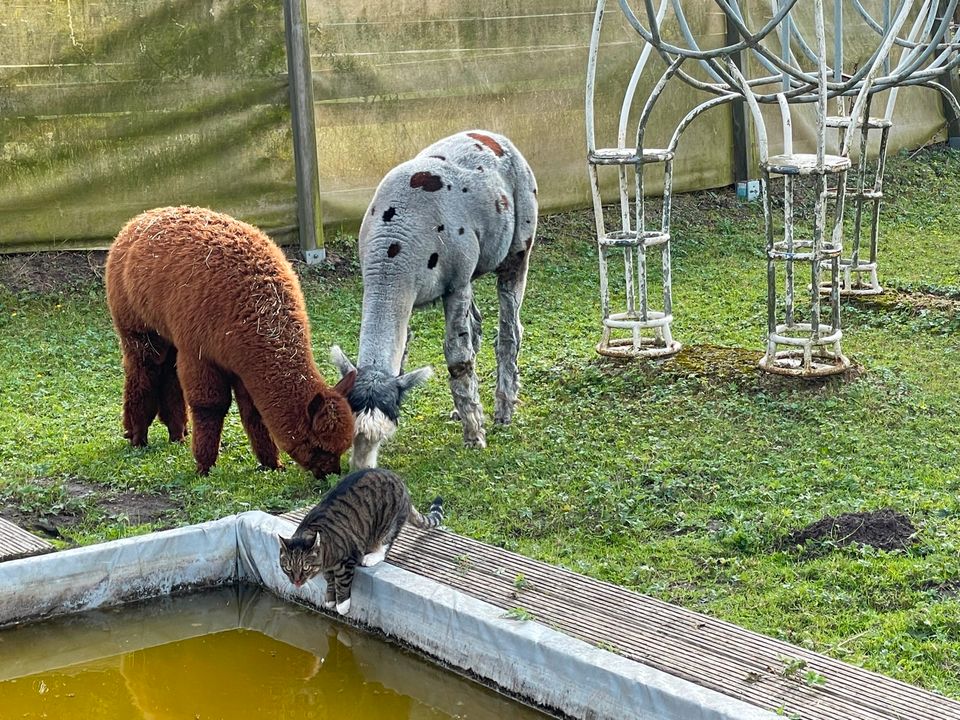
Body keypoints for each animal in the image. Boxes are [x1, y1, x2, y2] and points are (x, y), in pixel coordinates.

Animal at [278, 470, 442, 616]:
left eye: (305, 567)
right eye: (287, 567)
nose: (296, 581)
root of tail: (400, 481)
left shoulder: (347, 560)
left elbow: (341, 582)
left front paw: (342, 605)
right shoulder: (327, 568)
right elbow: (330, 580)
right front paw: (330, 598)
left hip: (387, 525)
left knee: (384, 546)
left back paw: (371, 557)